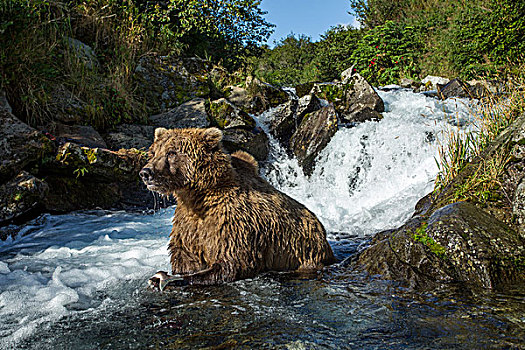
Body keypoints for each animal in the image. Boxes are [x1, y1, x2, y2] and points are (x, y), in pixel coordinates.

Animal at [140, 126, 336, 288]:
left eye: (171, 152)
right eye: (153, 152)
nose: (146, 172)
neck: (196, 196)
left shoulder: (231, 223)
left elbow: (231, 263)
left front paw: (167, 278)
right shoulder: (188, 227)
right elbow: (185, 257)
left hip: (304, 254)